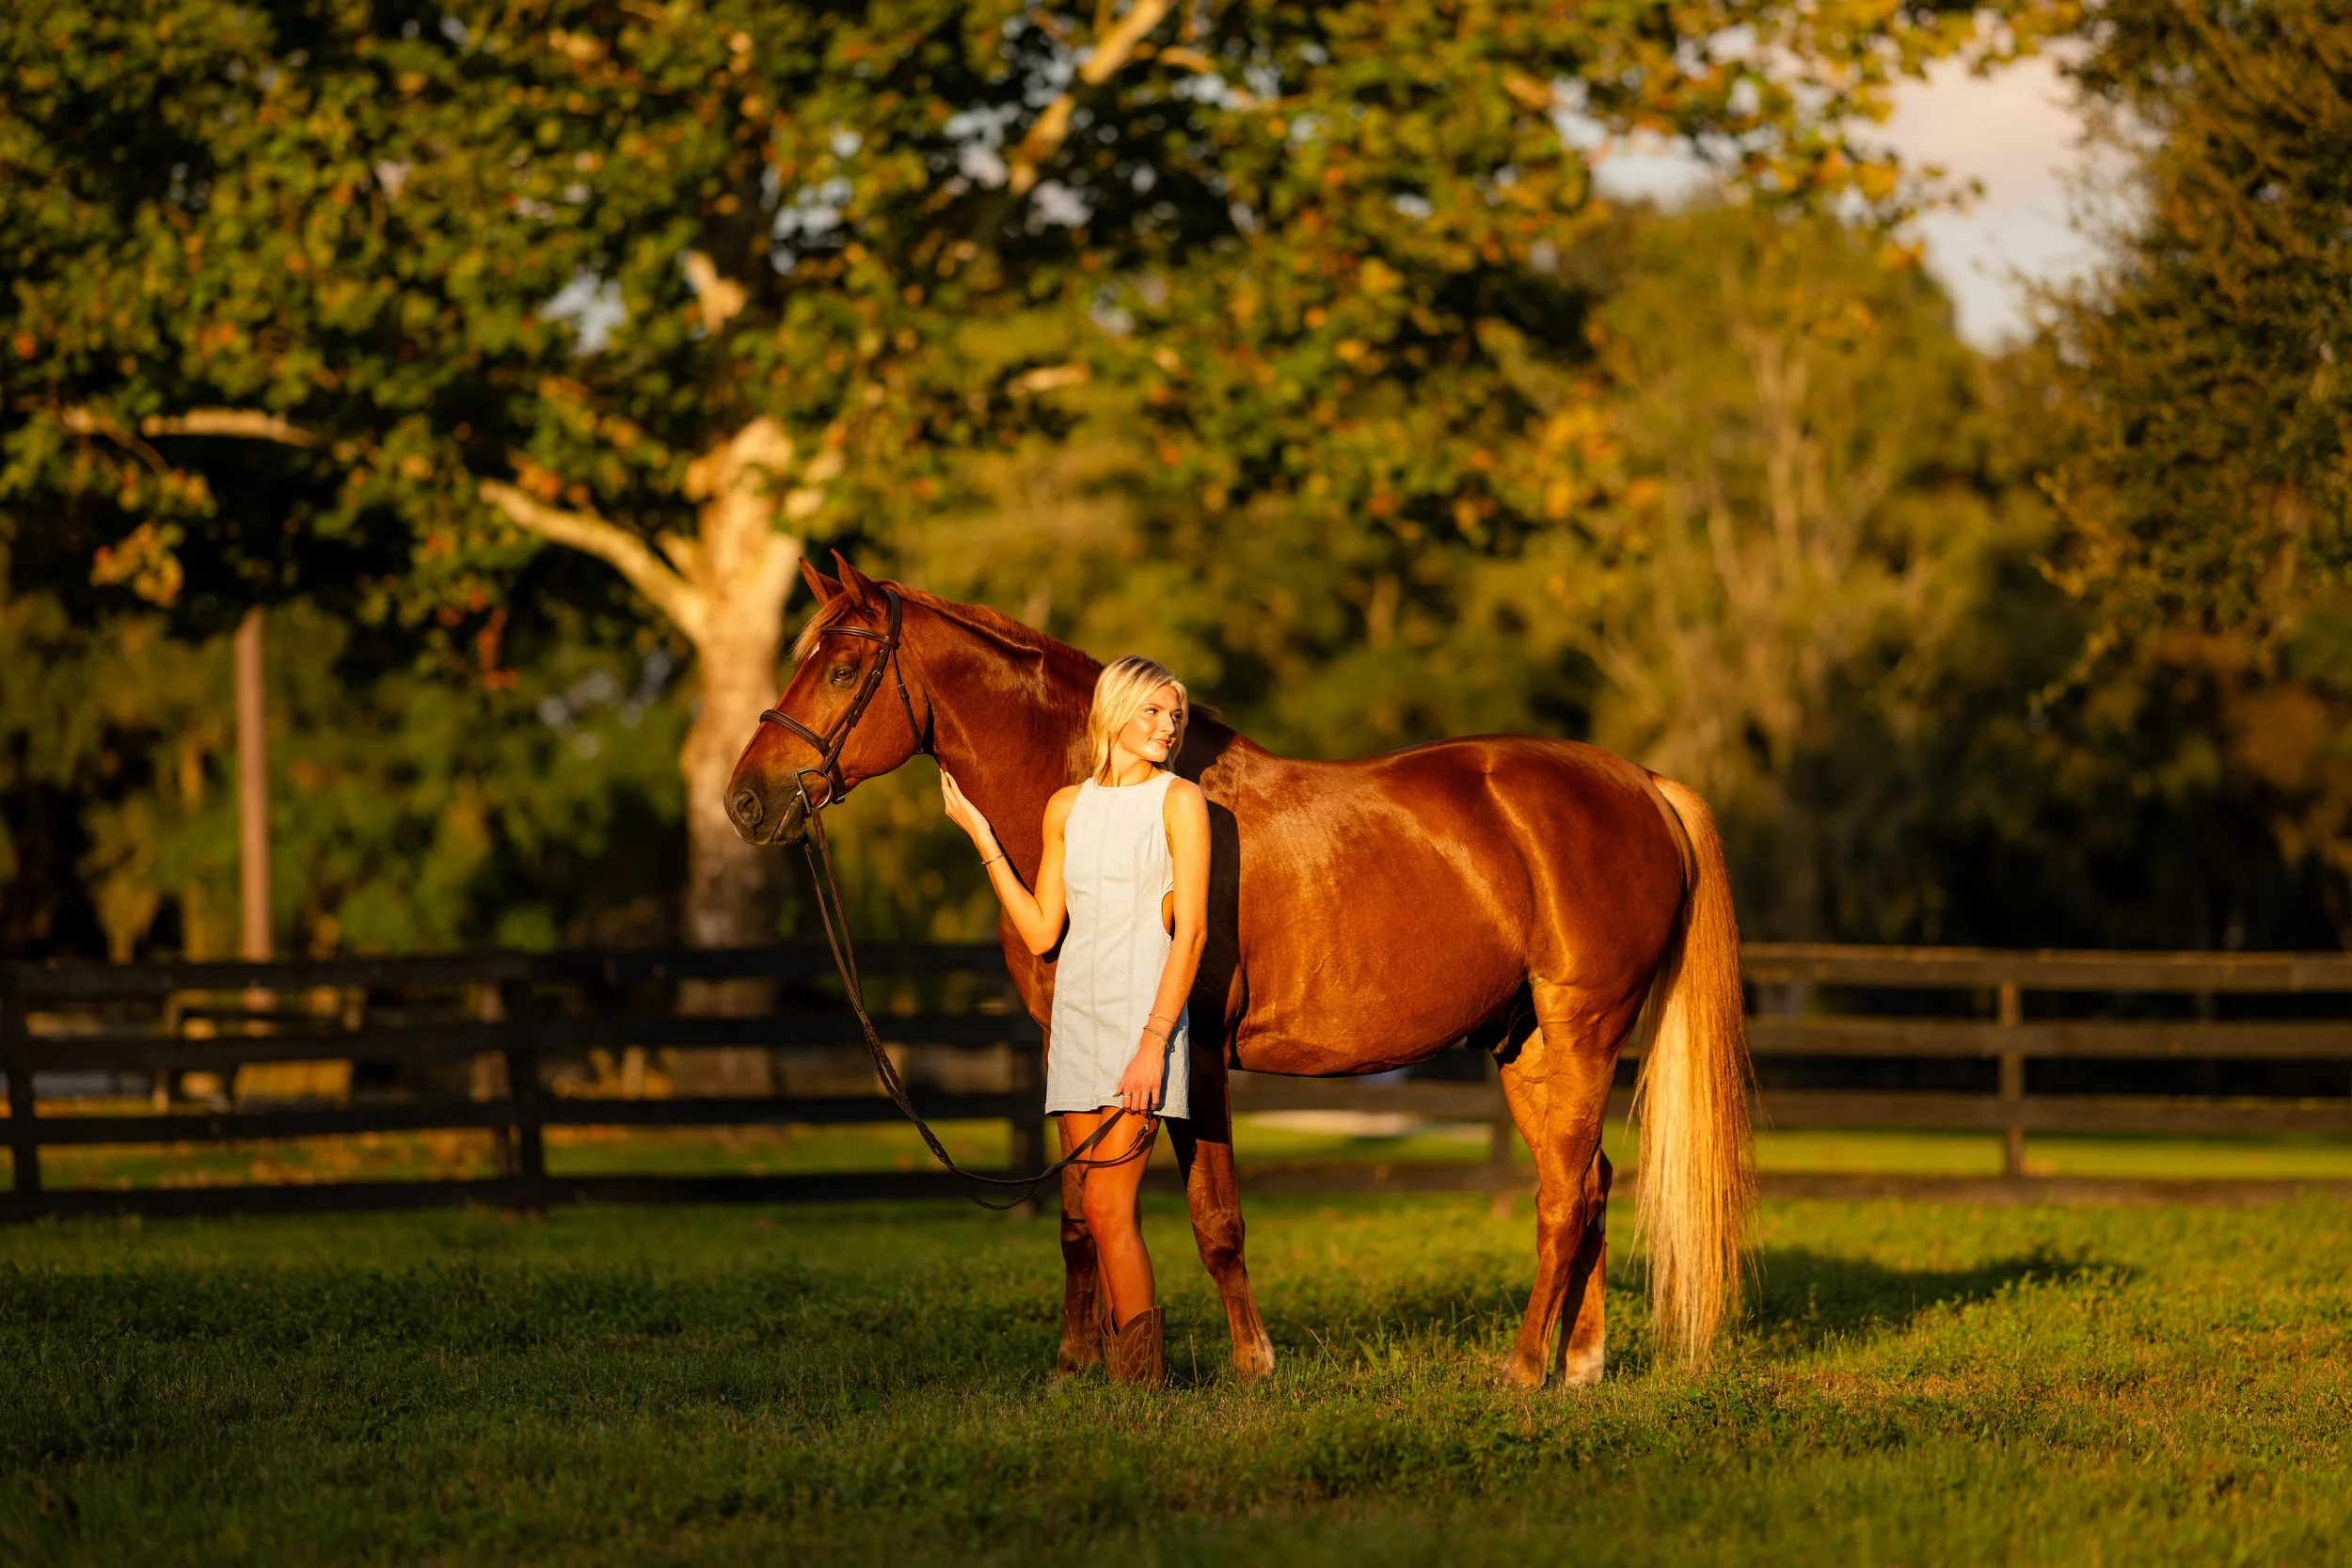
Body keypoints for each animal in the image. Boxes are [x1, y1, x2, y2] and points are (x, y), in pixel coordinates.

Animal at [726, 555, 1755, 1387]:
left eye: (843, 667)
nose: (746, 800)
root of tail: (1640, 782)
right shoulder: (1073, 1053)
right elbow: (1077, 1216)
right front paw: (1073, 1366)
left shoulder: (1199, 1056)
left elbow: (1215, 1218)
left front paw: (1253, 1365)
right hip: (1527, 1046)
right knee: (1590, 1184)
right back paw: (1580, 1365)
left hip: (1583, 1031)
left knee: (1562, 1197)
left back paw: (1523, 1368)